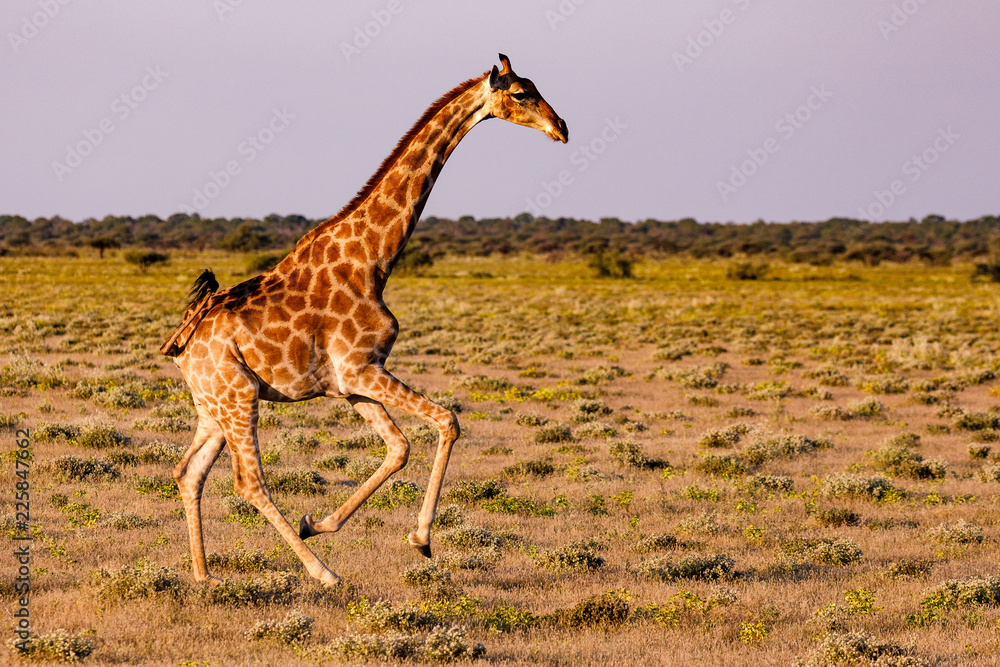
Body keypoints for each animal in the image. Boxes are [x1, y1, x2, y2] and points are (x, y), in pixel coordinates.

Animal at [160, 54, 568, 586]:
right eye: (521, 93)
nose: (561, 128)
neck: (374, 260)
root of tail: (184, 343)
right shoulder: (360, 369)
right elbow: (447, 421)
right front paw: (420, 540)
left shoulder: (353, 382)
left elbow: (399, 448)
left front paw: (319, 523)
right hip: (239, 396)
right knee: (249, 482)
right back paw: (323, 573)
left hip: (213, 405)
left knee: (189, 473)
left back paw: (204, 575)